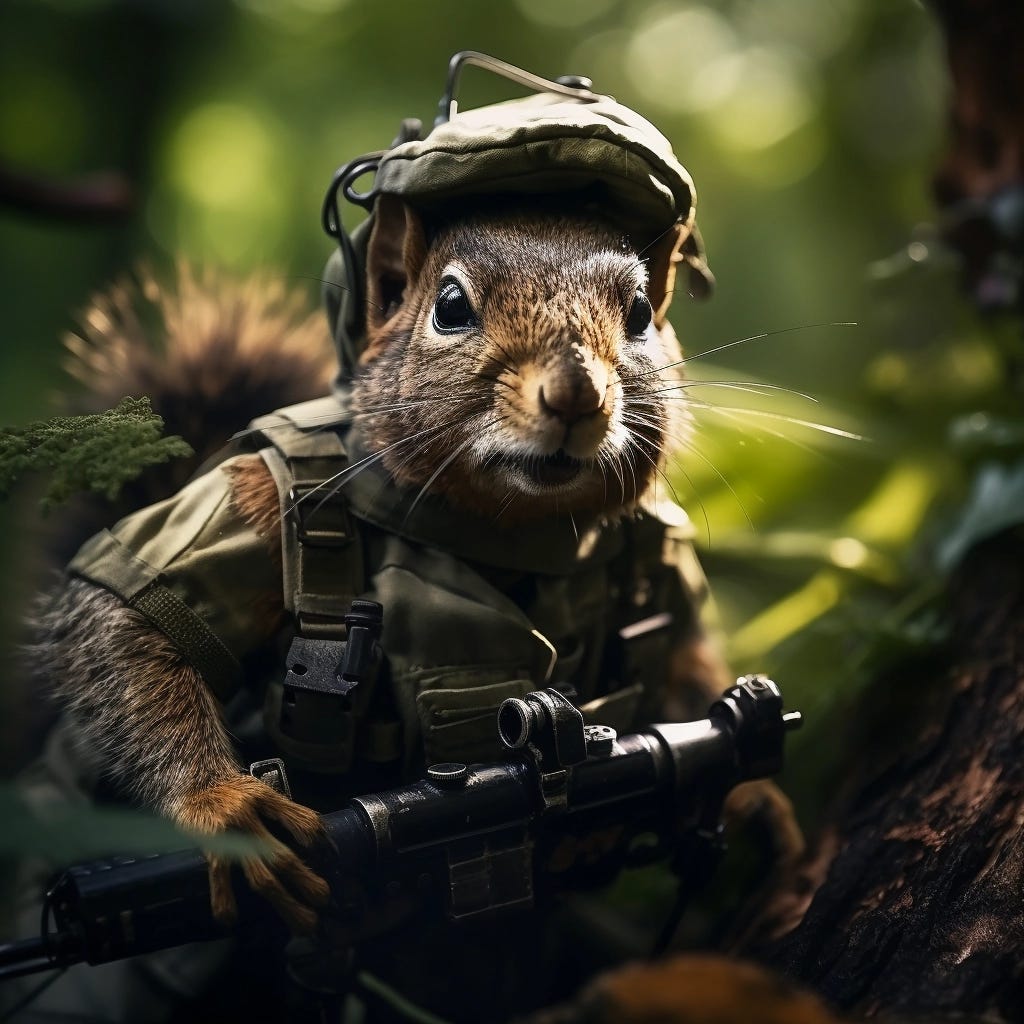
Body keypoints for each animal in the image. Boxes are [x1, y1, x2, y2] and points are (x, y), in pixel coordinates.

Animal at [30, 192, 803, 942]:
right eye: (451, 306)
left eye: (642, 313)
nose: (576, 394)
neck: (509, 534)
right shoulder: (259, 494)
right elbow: (121, 615)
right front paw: (224, 808)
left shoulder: (666, 550)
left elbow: (684, 664)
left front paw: (762, 808)